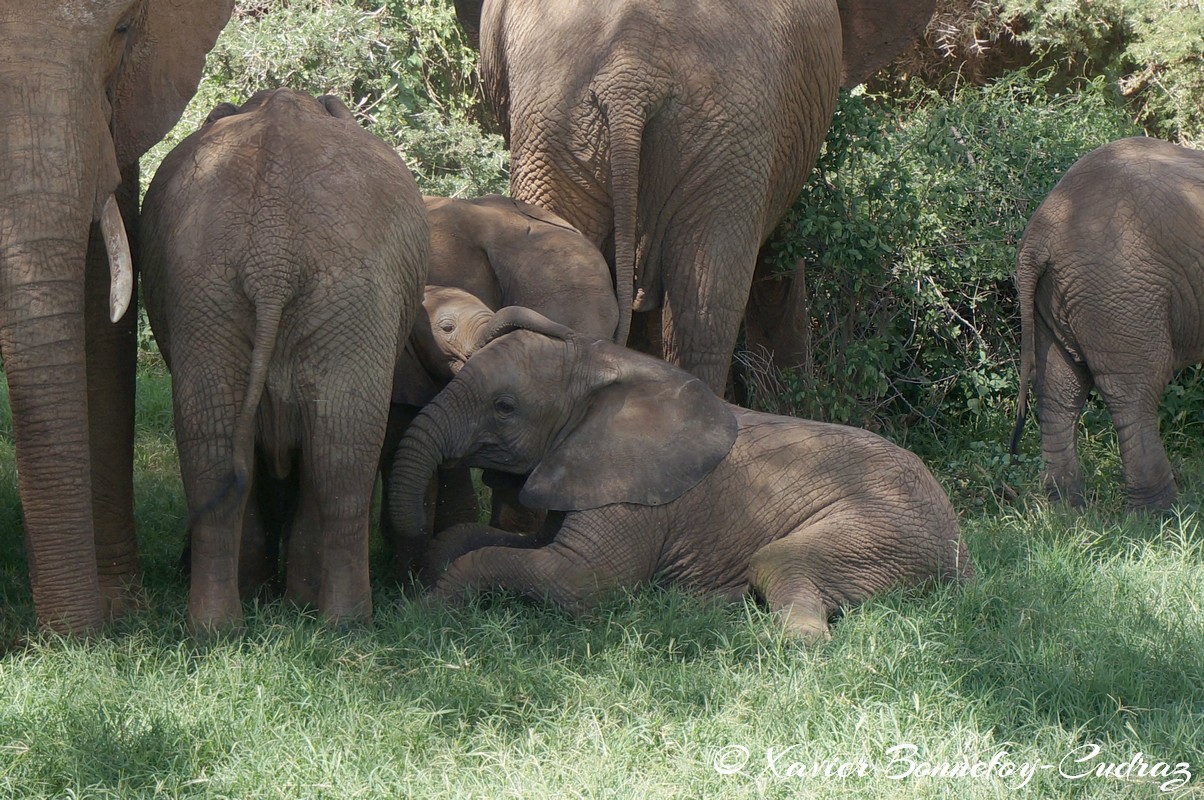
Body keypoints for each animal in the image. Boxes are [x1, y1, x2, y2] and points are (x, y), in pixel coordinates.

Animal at [140, 88, 429, 631]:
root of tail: (270, 257)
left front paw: (283, 601)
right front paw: (278, 599)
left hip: (215, 281)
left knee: (227, 449)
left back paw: (224, 628)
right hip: (331, 284)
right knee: (334, 452)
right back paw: (340, 624)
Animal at [389, 307, 973, 640]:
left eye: (504, 408)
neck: (605, 369)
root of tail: (964, 553)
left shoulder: (636, 502)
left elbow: (576, 580)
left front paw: (427, 610)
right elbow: (486, 540)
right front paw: (429, 577)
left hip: (889, 526)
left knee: (779, 563)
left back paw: (775, 636)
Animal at [1011, 136, 1204, 512]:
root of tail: (1040, 232)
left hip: (1056, 295)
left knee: (1059, 386)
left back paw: (1065, 506)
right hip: (1120, 287)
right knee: (1135, 389)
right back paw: (1160, 512)